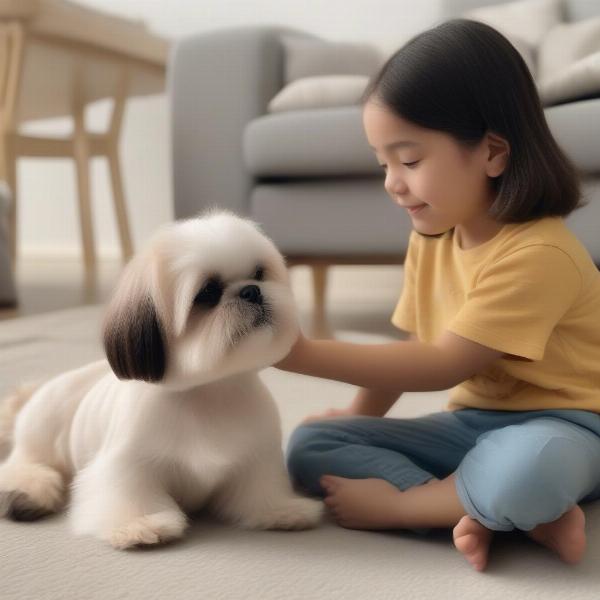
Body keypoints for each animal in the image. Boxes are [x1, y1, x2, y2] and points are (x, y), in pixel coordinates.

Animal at [0, 210, 324, 548]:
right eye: (207, 292)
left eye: (259, 273)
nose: (251, 290)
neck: (207, 392)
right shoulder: (130, 463)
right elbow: (131, 489)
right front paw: (140, 525)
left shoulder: (257, 458)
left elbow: (261, 488)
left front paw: (282, 510)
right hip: (42, 431)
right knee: (25, 464)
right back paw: (26, 493)